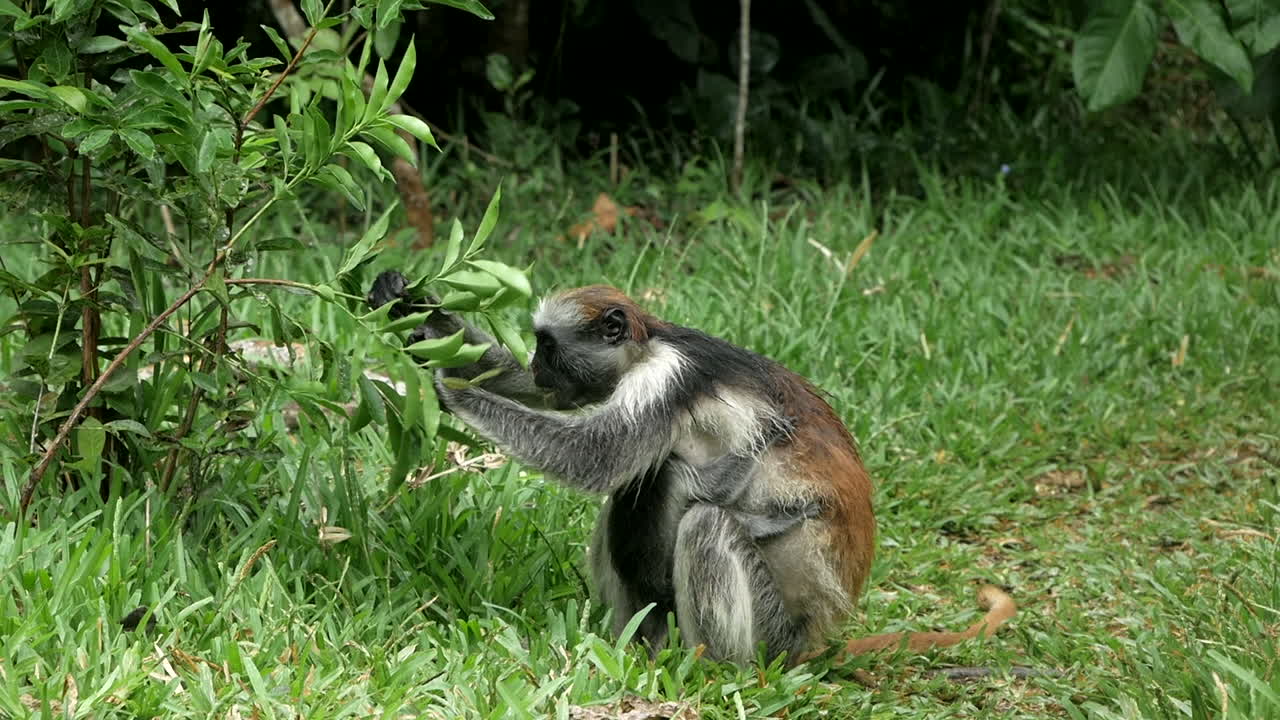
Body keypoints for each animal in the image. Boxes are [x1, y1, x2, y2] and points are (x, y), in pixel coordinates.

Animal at [367, 270, 1016, 665]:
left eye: (550, 347)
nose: (541, 365)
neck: (652, 343)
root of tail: (818, 632)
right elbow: (542, 403)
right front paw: (406, 304)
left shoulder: (666, 379)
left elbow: (594, 459)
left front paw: (447, 394)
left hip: (774, 632)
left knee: (694, 508)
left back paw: (707, 669)